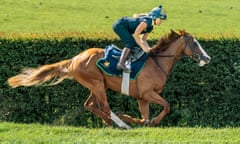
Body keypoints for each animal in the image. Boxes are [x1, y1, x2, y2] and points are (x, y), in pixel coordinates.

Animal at [7, 29, 210, 129]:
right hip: (96, 84)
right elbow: (166, 106)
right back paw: (118, 123)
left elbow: (145, 118)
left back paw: (111, 122)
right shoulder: (147, 93)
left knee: (89, 105)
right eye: (194, 43)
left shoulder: (142, 98)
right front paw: (147, 121)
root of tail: (74, 59)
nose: (207, 58)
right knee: (103, 106)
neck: (157, 63)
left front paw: (140, 120)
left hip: (97, 85)